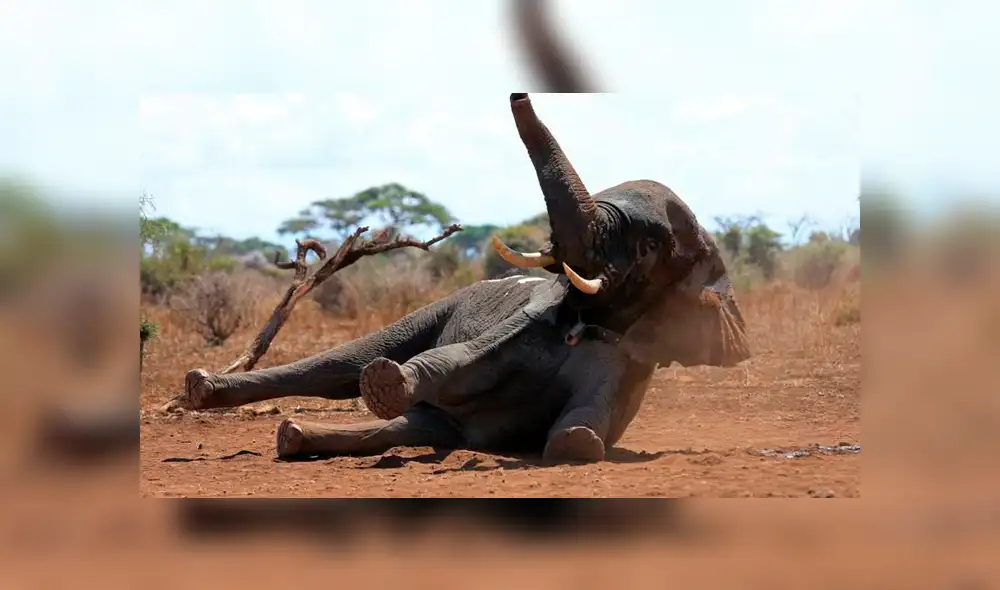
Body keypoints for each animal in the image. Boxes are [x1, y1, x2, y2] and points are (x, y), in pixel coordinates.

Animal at [181, 93, 751, 464]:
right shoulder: (527, 319)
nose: (519, 92)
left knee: (403, 428)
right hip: (442, 305)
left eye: (650, 245)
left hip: (439, 423)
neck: (586, 315)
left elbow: (582, 431)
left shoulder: (627, 357)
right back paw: (202, 389)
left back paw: (294, 435)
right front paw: (386, 379)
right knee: (336, 369)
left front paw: (570, 439)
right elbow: (452, 359)